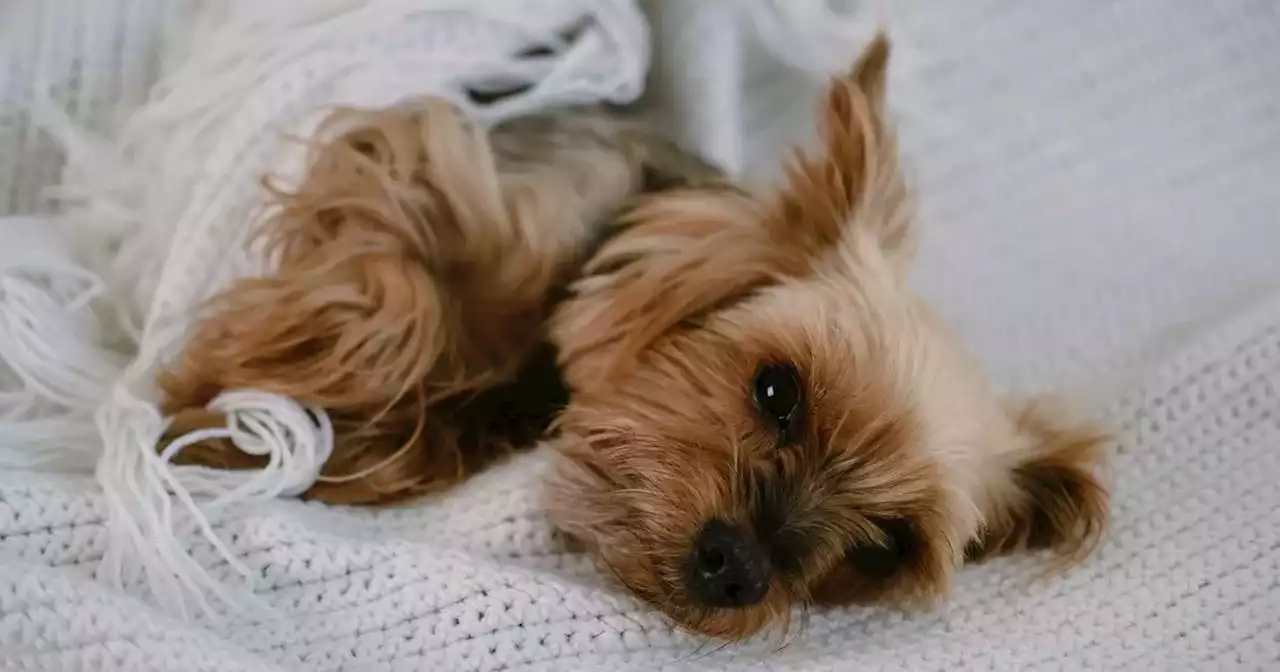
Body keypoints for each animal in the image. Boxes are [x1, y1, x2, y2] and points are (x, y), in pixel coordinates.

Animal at [160, 35, 1105, 640]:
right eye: (777, 388)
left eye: (884, 549)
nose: (737, 567)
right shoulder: (419, 159)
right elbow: (405, 299)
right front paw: (224, 410)